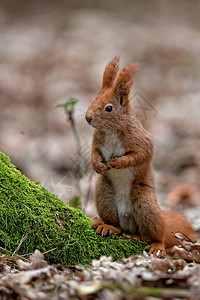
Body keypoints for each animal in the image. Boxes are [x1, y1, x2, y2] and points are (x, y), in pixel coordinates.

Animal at [85, 56, 194, 255]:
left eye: (109, 108)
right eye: (93, 99)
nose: (88, 118)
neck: (112, 130)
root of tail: (129, 223)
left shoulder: (140, 140)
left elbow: (140, 155)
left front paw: (119, 162)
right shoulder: (97, 141)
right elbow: (94, 153)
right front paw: (97, 164)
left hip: (145, 203)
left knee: (157, 234)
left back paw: (155, 244)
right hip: (105, 196)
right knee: (117, 225)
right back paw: (108, 226)